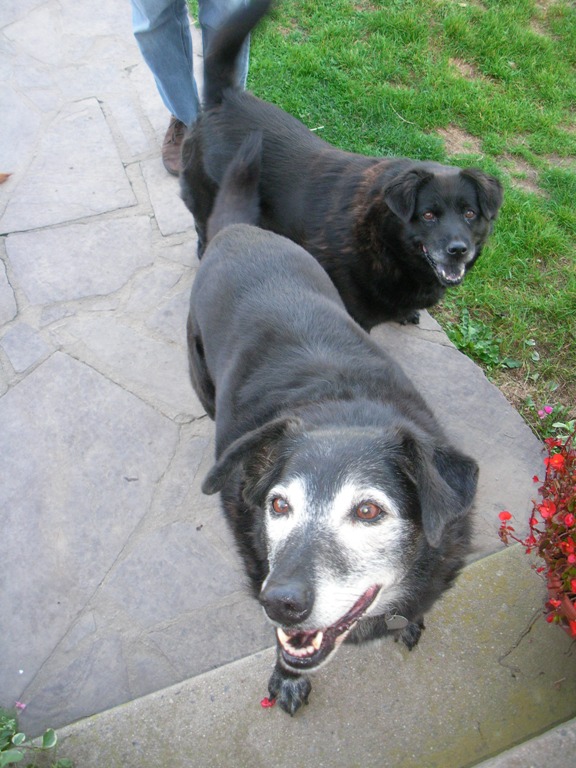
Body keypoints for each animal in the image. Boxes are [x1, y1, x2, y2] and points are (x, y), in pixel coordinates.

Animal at [182, 0, 502, 328]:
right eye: (428, 215)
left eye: (469, 213)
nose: (458, 250)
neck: (383, 234)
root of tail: (226, 99)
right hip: (207, 199)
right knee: (203, 226)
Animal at [188, 132, 476, 712]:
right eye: (278, 505)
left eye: (368, 511)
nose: (280, 602)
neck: (344, 408)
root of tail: (237, 230)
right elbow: (287, 652)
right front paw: (287, 677)